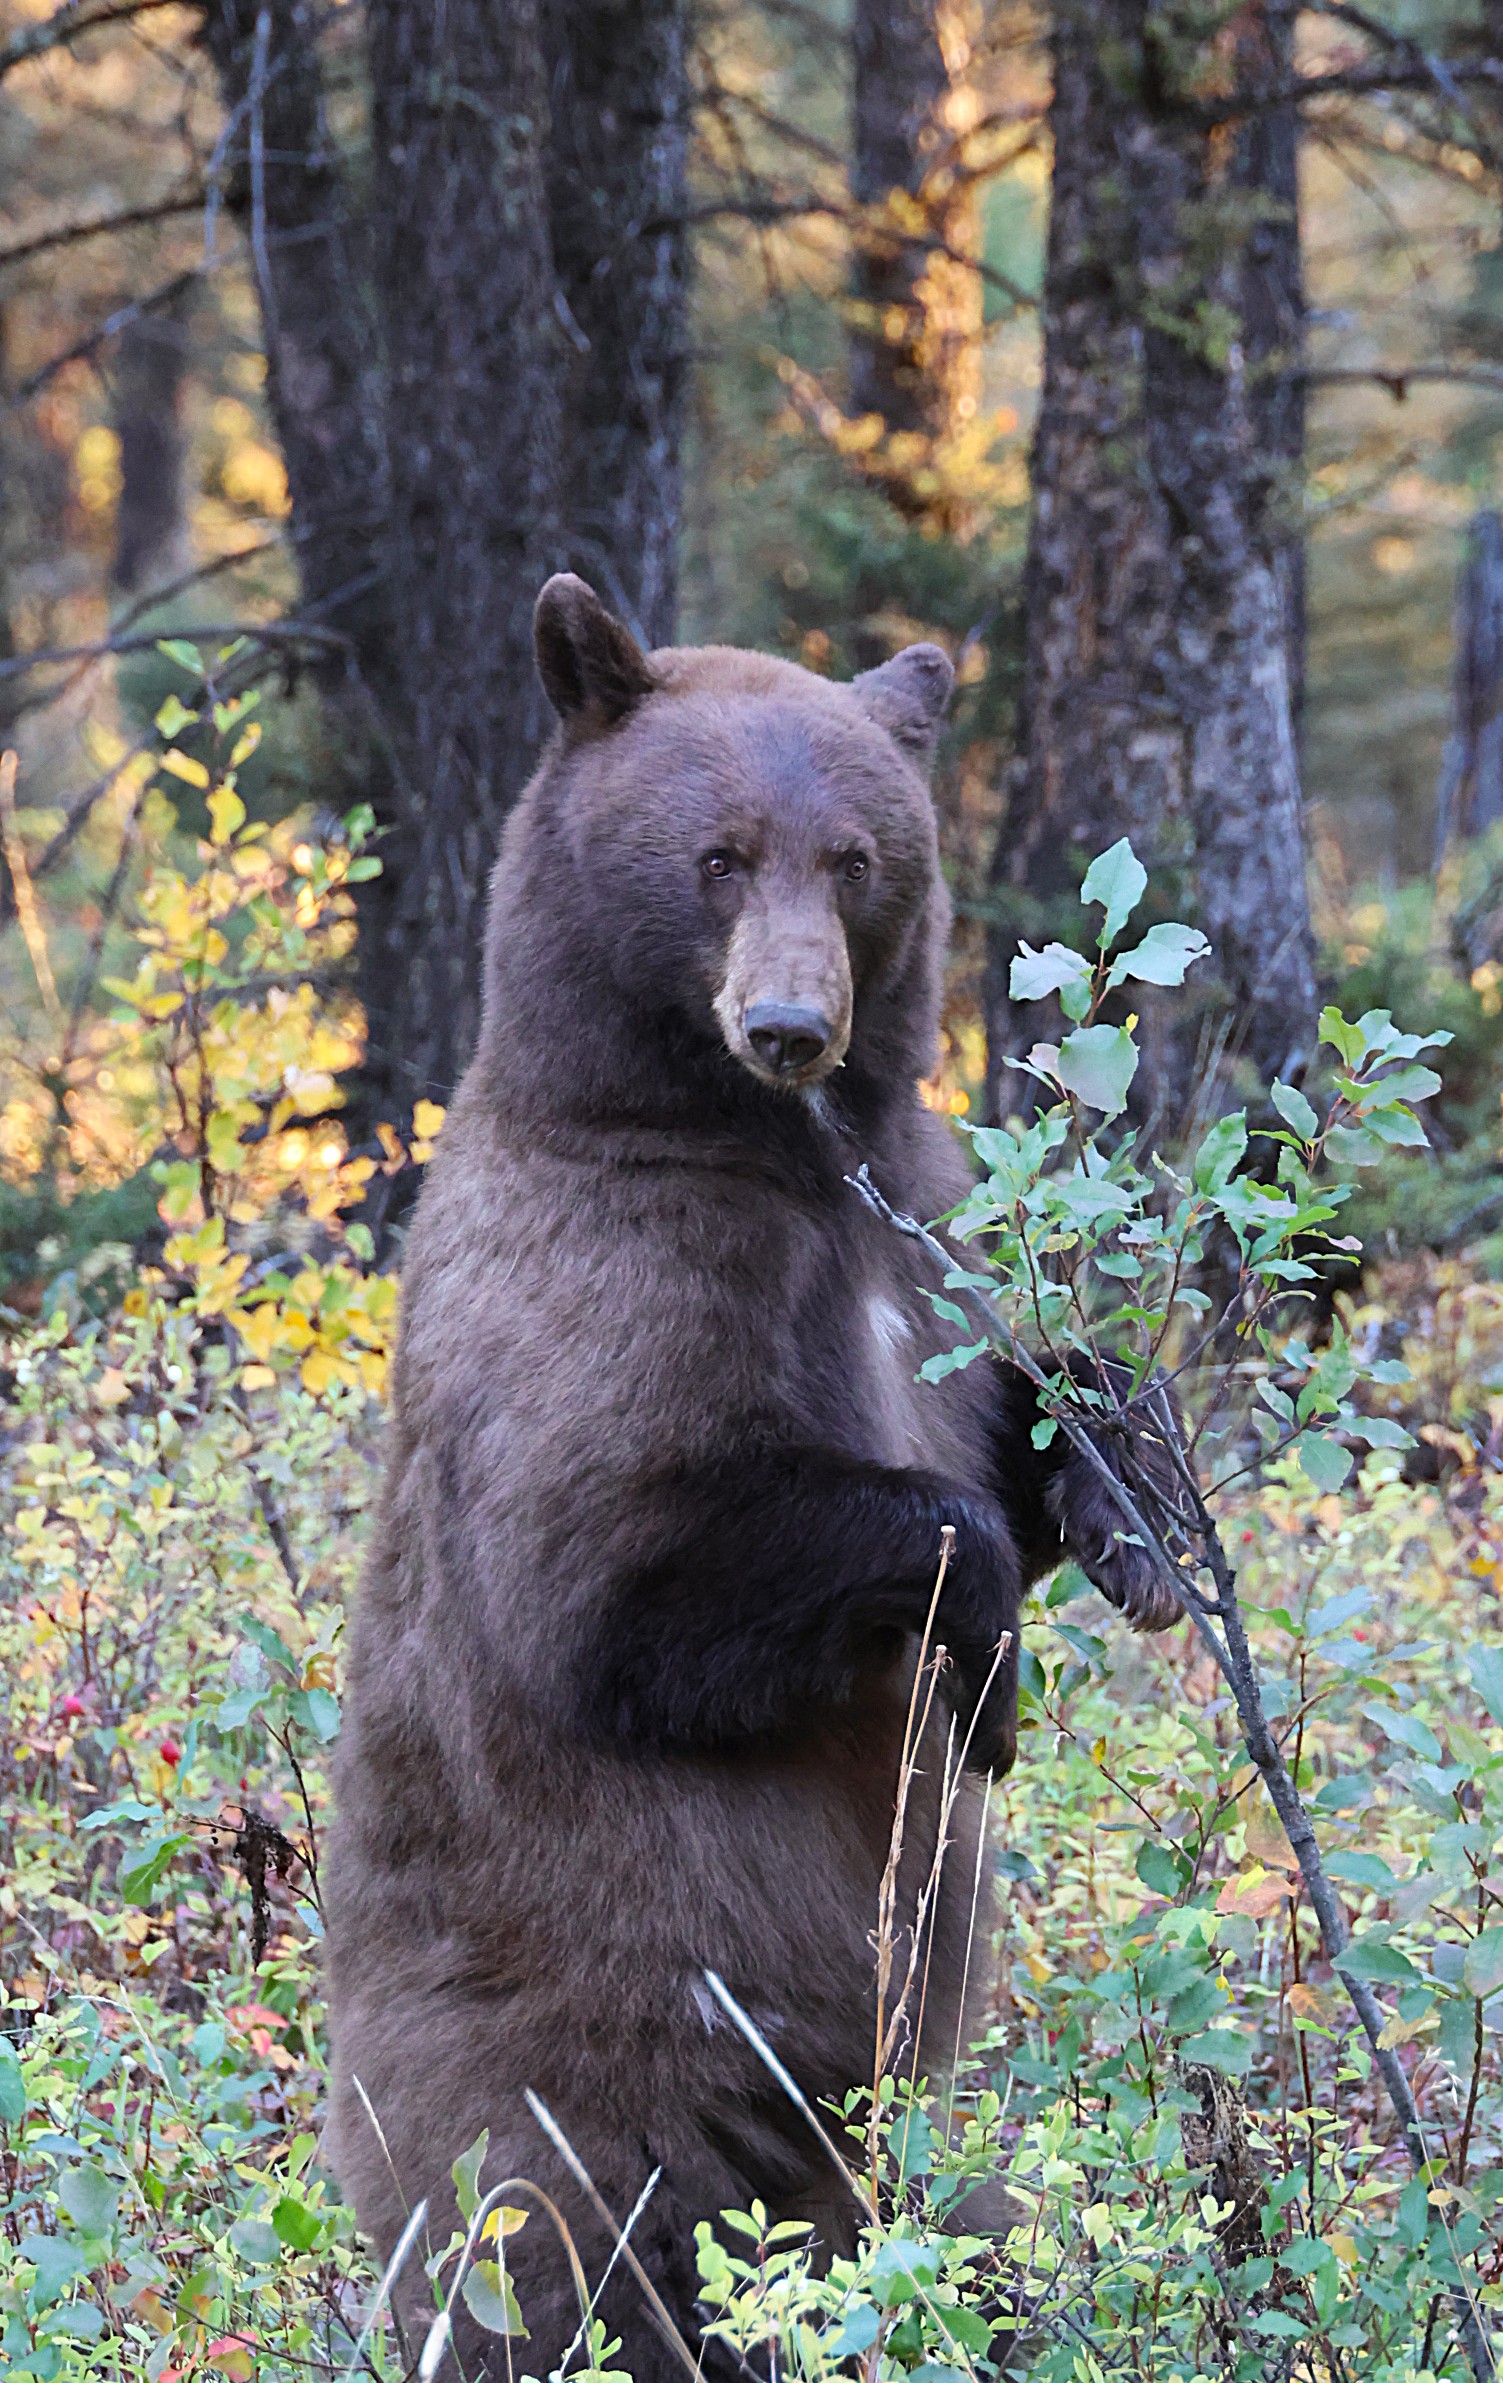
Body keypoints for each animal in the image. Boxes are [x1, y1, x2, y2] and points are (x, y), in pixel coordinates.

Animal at [325, 577, 1180, 2383]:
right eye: (714, 856)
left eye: (850, 856)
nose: (789, 1022)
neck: (781, 1154)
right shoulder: (608, 1279)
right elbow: (621, 1576)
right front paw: (987, 1683)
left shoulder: (919, 1239)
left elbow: (1015, 1409)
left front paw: (1134, 1510)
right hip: (558, 2079)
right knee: (573, 2262)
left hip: (897, 2138)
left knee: (967, 2217)